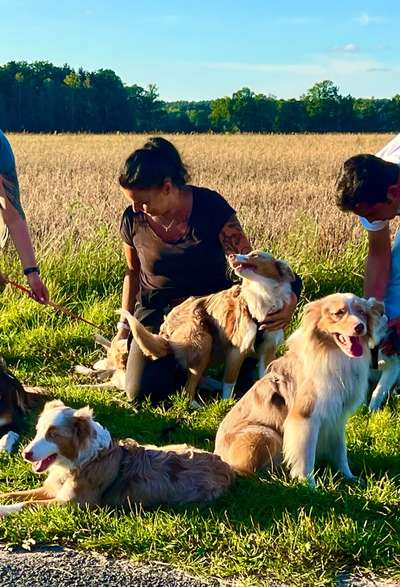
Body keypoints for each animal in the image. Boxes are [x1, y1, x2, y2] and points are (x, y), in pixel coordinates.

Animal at [0, 400, 234, 520]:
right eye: (38, 431)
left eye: (53, 434)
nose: (26, 454)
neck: (78, 461)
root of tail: (225, 465)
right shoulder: (53, 489)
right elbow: (15, 494)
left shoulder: (75, 504)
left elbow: (26, 503)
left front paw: (3, 510)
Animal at [119, 250, 294, 402]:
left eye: (255, 255)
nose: (231, 255)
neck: (261, 293)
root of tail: (165, 327)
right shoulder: (237, 350)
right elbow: (229, 383)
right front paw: (226, 405)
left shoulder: (267, 349)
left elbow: (266, 376)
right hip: (203, 340)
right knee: (188, 388)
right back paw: (195, 404)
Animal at [216, 294, 384, 486]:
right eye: (339, 313)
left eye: (362, 312)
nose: (360, 327)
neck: (333, 355)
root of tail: (217, 455)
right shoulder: (305, 417)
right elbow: (305, 457)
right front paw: (309, 485)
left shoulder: (338, 417)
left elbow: (341, 452)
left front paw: (350, 478)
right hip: (267, 434)